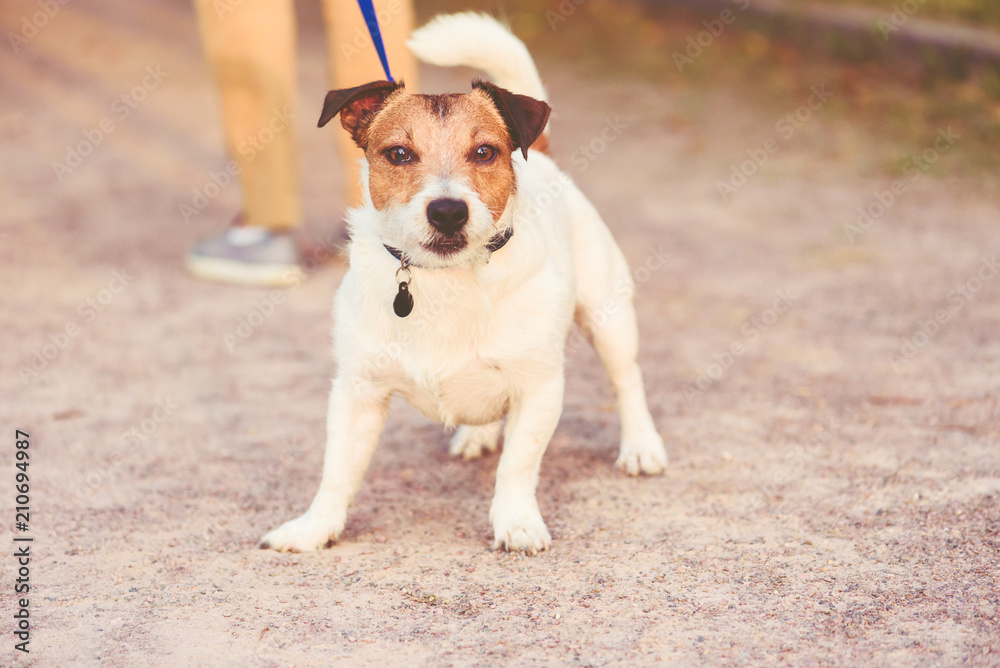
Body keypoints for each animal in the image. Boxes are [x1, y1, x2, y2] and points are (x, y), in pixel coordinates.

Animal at [262, 13, 668, 556]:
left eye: (484, 151)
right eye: (399, 153)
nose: (449, 211)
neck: (444, 279)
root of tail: (543, 155)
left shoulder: (539, 388)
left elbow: (517, 466)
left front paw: (516, 522)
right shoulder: (356, 392)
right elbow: (337, 472)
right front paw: (314, 528)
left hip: (609, 317)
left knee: (628, 381)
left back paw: (641, 445)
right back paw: (479, 435)